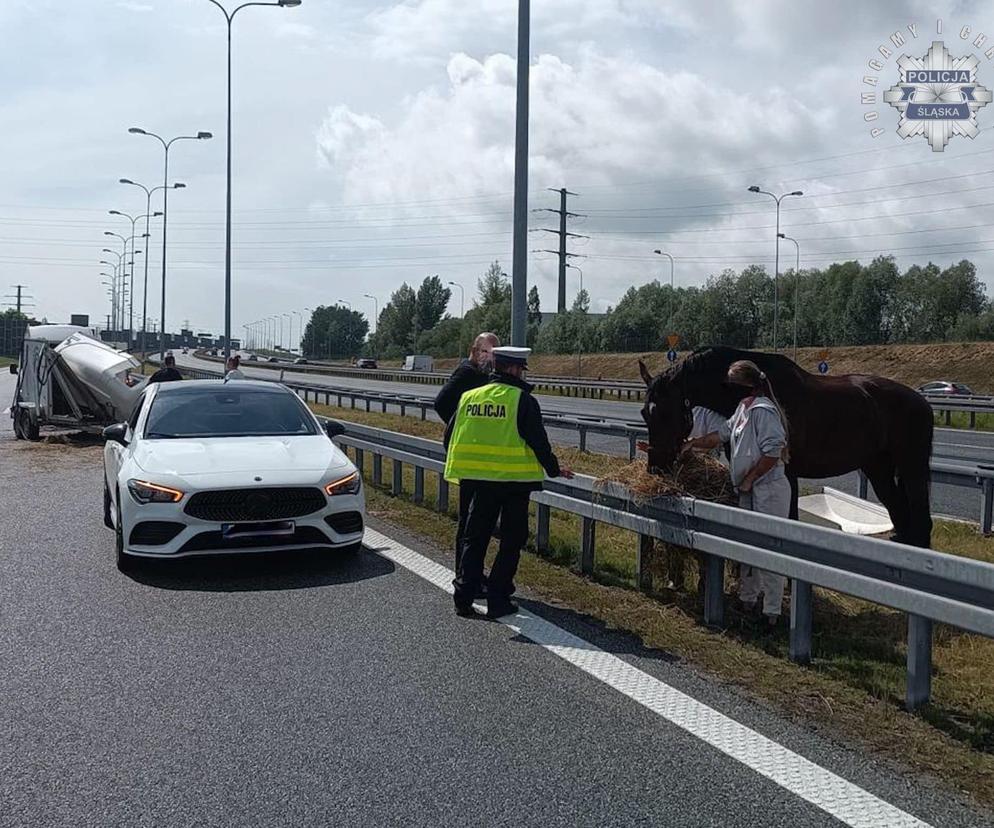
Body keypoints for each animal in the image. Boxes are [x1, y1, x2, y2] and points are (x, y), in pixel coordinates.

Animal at [640, 346, 932, 548]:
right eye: (645, 413)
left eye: (667, 413)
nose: (656, 467)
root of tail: (922, 402)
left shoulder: (788, 474)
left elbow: (789, 519)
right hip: (878, 467)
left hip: (912, 468)